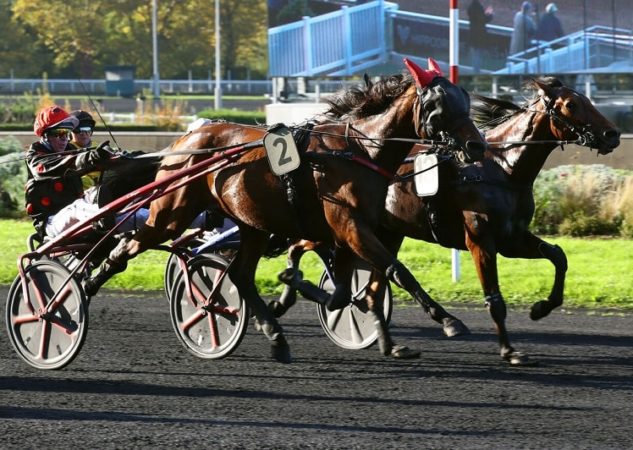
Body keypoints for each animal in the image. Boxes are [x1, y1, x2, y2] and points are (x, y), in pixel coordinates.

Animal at [84, 59, 486, 362]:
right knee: (127, 246)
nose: (476, 146)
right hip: (171, 213)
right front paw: (448, 320)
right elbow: (396, 271)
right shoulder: (349, 226)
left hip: (251, 224)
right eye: (439, 105)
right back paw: (85, 285)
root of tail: (181, 142)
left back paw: (275, 336)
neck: (358, 151)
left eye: (465, 99)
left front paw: (299, 289)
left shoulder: (347, 231)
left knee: (240, 275)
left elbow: (344, 290)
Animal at [276, 76, 616, 366]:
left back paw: (389, 342)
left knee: (370, 288)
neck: (501, 169)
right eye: (571, 105)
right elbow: (494, 299)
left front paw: (540, 308)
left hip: (384, 233)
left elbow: (558, 256)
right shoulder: (480, 239)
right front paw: (510, 351)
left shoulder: (513, 239)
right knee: (301, 246)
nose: (611, 134)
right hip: (346, 226)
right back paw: (292, 289)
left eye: (588, 99)